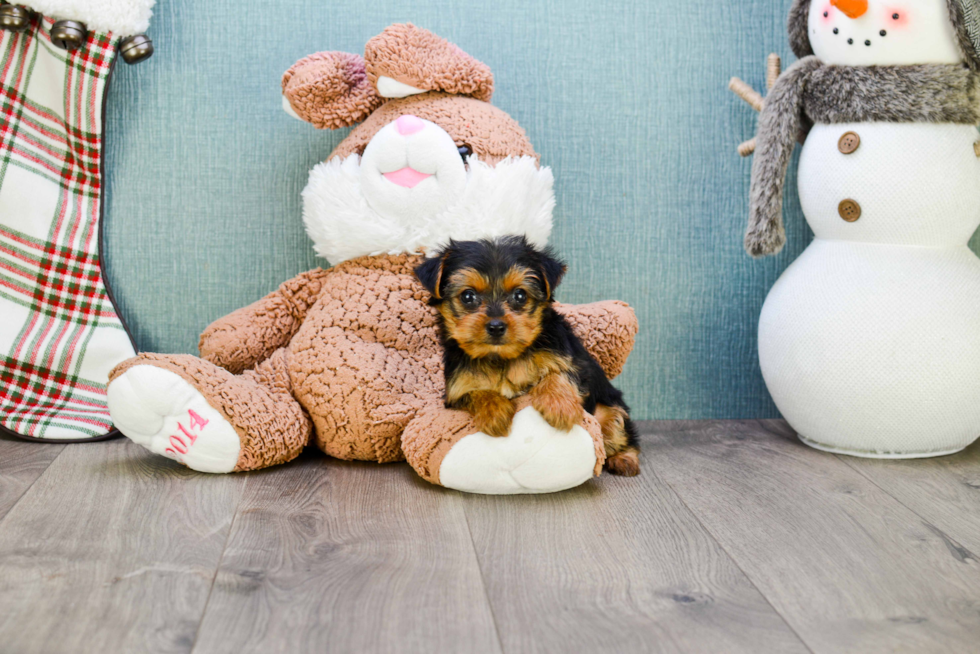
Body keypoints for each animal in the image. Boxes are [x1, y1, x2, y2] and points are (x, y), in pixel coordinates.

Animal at [416, 236, 640, 476]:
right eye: (468, 296)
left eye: (520, 295)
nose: (496, 326)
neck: (501, 358)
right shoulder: (457, 389)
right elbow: (476, 393)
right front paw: (495, 412)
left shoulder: (574, 363)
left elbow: (558, 373)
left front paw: (560, 406)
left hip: (609, 407)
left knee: (619, 428)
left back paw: (624, 459)